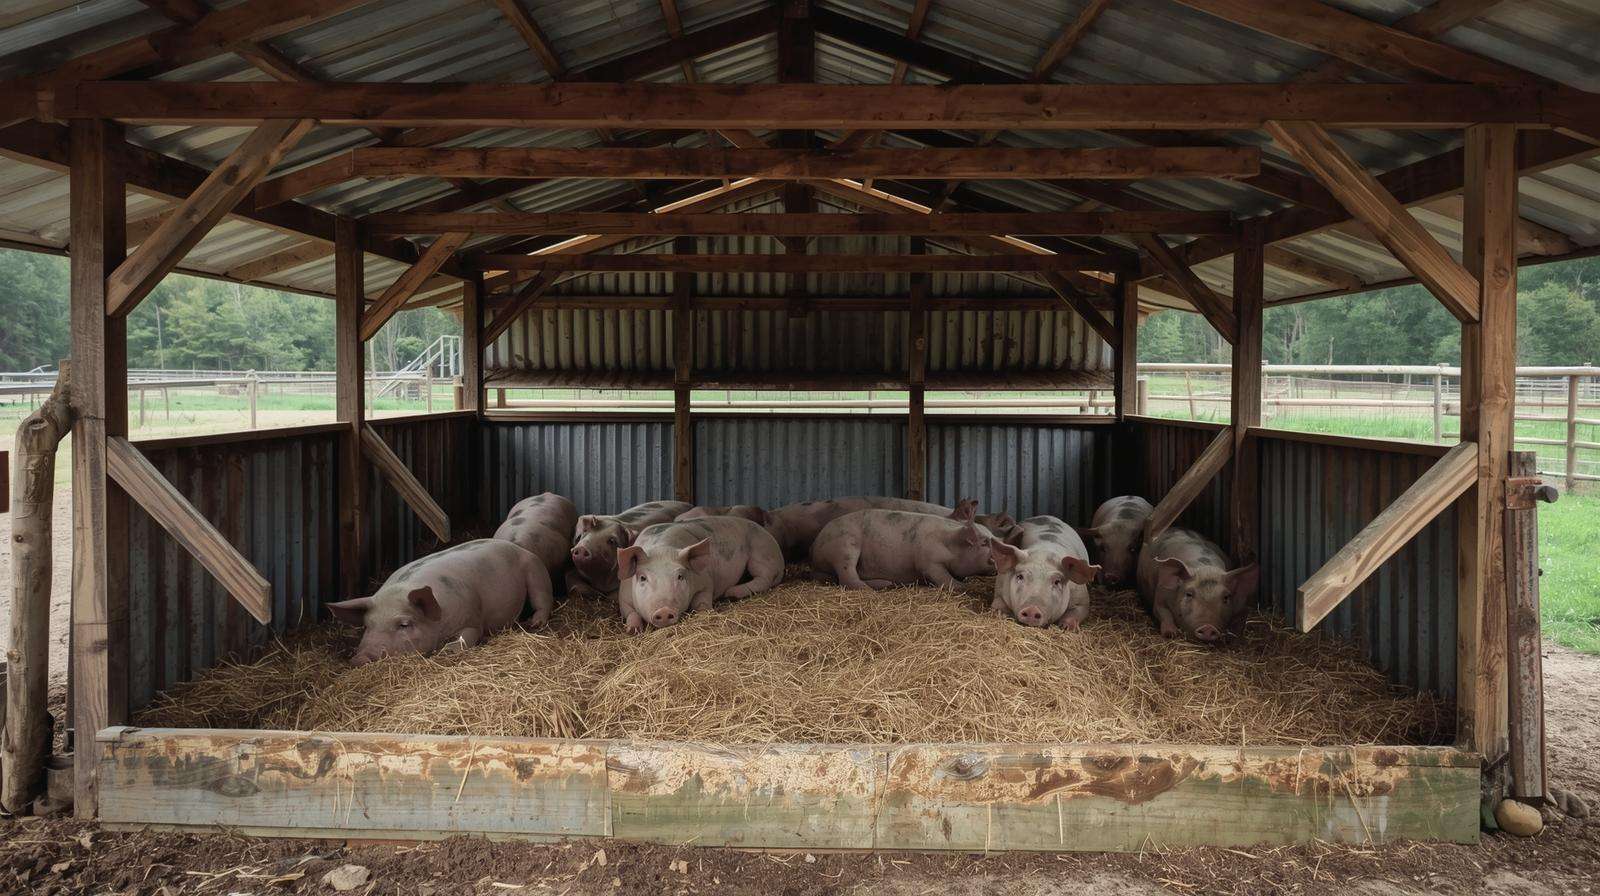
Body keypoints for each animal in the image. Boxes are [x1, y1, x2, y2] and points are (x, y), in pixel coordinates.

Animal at [327, 539, 552, 665]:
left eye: (404, 624)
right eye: (367, 625)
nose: (361, 658)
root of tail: (518, 547)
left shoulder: (472, 618)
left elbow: (470, 635)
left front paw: (447, 651)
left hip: (535, 570)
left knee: (543, 600)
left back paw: (534, 624)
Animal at [616, 516, 785, 633]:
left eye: (680, 576)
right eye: (643, 578)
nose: (664, 611)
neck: (662, 548)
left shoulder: (706, 581)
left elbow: (702, 602)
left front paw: (706, 612)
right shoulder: (623, 596)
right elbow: (630, 613)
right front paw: (632, 631)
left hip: (761, 552)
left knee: (765, 577)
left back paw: (731, 593)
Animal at [810, 509, 995, 590]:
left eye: (993, 537)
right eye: (984, 543)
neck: (951, 544)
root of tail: (816, 544)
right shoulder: (928, 561)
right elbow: (941, 576)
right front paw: (963, 587)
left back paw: (886, 584)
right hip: (845, 545)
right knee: (846, 576)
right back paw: (870, 589)